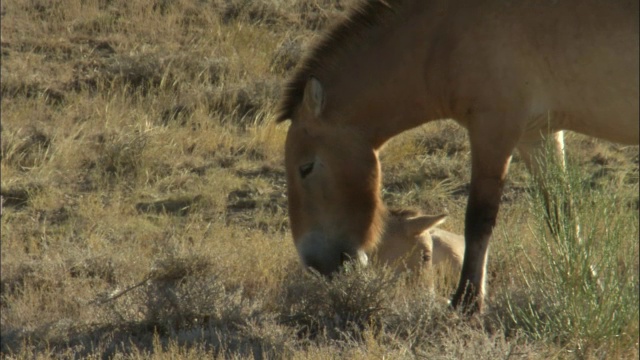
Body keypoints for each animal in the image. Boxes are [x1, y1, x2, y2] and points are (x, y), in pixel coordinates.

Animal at [276, 0, 640, 314]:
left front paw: (466, 302)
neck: (442, 34)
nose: (315, 264)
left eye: (306, 167)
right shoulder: (537, 134)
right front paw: (594, 289)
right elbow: (563, 214)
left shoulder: (493, 129)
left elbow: (479, 219)